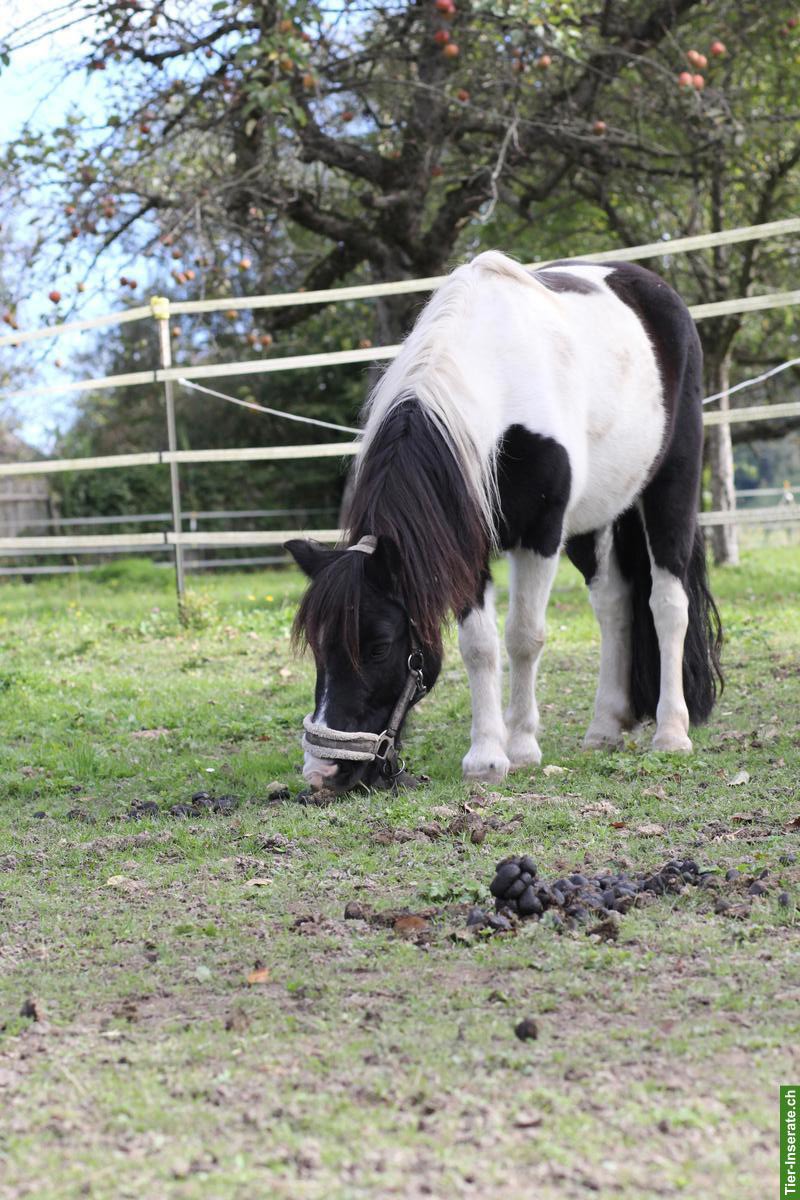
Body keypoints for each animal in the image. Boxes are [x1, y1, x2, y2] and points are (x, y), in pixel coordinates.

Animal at [286, 251, 723, 793]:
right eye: (316, 646)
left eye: (380, 645)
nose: (322, 773)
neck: (495, 377)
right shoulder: (463, 543)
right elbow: (479, 646)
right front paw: (486, 757)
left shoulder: (539, 535)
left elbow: (523, 637)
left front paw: (522, 748)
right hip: (592, 522)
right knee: (614, 605)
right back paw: (603, 727)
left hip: (670, 491)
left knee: (667, 603)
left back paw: (671, 733)